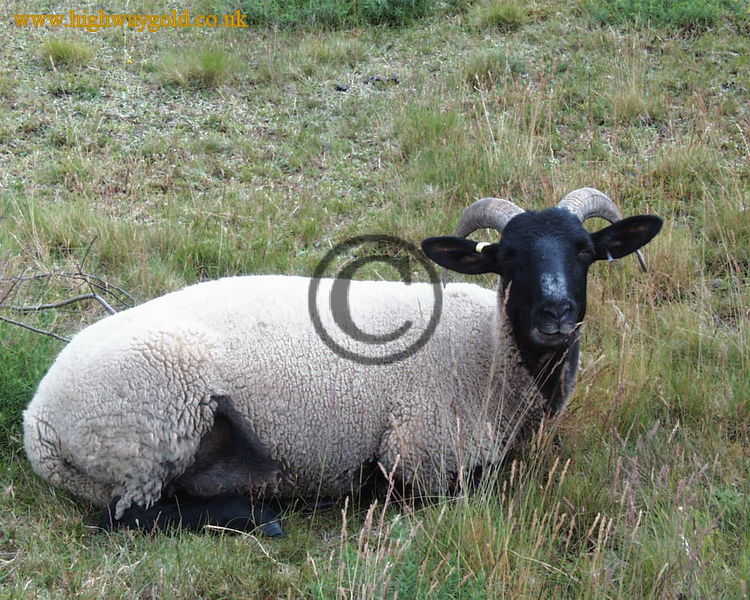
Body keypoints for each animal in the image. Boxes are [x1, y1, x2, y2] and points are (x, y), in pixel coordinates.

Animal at [23, 188, 662, 536]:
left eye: (585, 252)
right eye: (506, 259)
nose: (556, 313)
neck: (490, 354)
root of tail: (39, 421)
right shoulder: (420, 452)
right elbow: (459, 487)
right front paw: (361, 490)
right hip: (152, 431)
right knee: (127, 517)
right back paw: (263, 513)